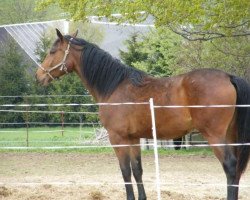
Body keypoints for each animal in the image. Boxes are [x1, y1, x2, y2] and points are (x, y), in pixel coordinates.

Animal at [36, 28, 250, 200]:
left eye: (52, 51)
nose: (38, 76)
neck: (115, 86)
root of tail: (229, 76)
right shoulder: (133, 138)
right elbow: (137, 170)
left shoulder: (118, 138)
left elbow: (125, 171)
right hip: (230, 135)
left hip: (214, 135)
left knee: (230, 167)